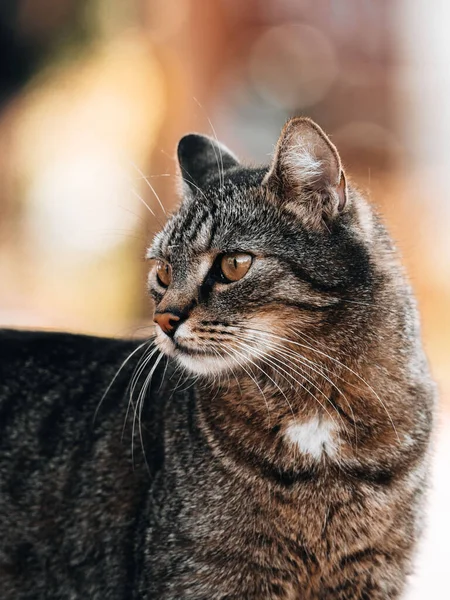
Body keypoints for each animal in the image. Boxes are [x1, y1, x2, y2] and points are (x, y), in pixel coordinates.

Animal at [0, 118, 436, 600]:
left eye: (234, 265)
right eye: (164, 271)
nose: (164, 318)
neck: (317, 415)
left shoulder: (371, 576)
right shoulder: (206, 577)